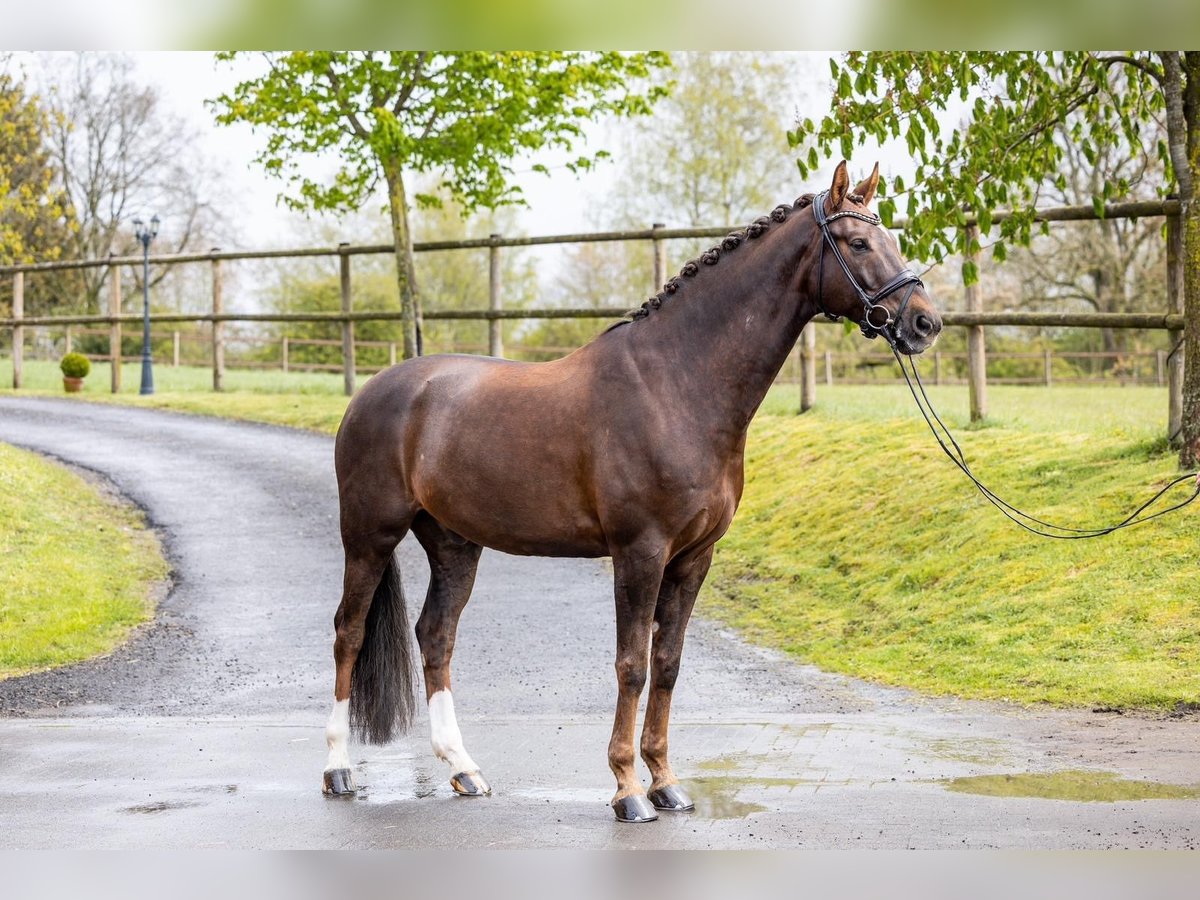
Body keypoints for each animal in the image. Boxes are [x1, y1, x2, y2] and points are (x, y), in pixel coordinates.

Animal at [324, 162, 940, 825]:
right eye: (858, 243)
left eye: (889, 237)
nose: (925, 323)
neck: (675, 383)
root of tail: (374, 391)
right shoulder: (639, 552)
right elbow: (632, 666)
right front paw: (627, 790)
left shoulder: (694, 557)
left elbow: (667, 664)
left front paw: (665, 782)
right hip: (370, 536)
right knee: (348, 634)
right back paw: (338, 769)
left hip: (454, 544)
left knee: (436, 637)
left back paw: (464, 770)